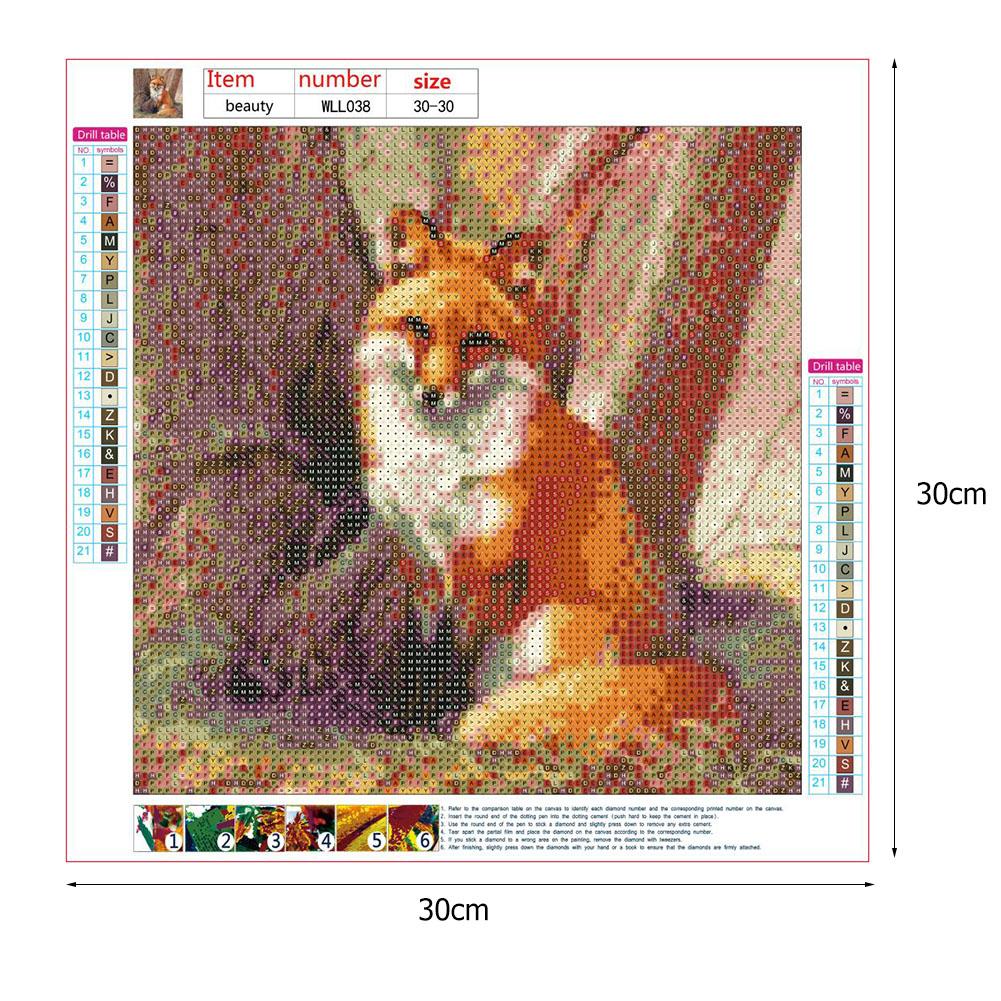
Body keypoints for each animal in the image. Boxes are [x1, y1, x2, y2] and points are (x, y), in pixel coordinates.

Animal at [354, 208, 729, 746]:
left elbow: (459, 658)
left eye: (477, 341)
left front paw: (447, 723)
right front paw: (413, 718)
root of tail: (673, 657)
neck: (436, 464)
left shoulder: (493, 563)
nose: (432, 396)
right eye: (418, 328)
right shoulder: (418, 557)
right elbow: (423, 651)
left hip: (550, 625)